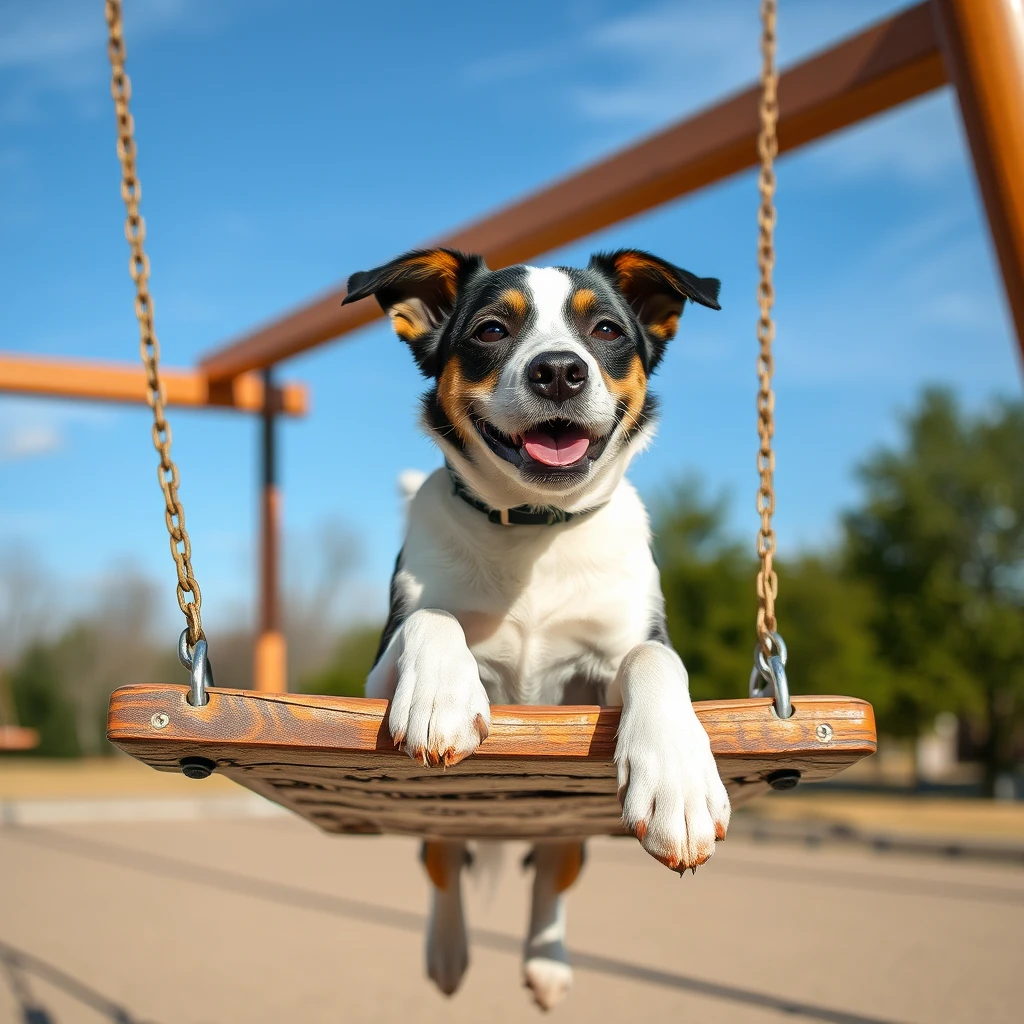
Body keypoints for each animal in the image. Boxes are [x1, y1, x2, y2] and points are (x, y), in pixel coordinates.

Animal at [342, 247, 729, 1007]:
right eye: (491, 329)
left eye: (606, 329)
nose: (558, 370)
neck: (533, 529)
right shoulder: (375, 678)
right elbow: (433, 614)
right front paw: (441, 694)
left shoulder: (611, 660)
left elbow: (653, 660)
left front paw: (678, 777)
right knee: (442, 861)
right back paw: (448, 951)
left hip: (564, 827)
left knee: (554, 863)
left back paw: (548, 961)